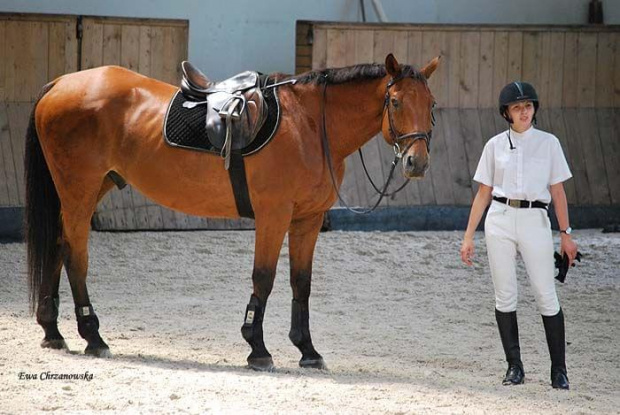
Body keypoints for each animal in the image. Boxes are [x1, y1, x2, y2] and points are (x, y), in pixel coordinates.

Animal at [25, 54, 440, 370]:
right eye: (396, 102)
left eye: (432, 104)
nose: (417, 163)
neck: (308, 124)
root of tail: (60, 83)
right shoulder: (274, 215)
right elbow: (264, 278)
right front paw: (257, 348)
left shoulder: (306, 221)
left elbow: (301, 283)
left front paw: (307, 350)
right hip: (79, 190)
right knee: (75, 255)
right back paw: (93, 335)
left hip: (91, 189)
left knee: (58, 246)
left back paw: (52, 331)